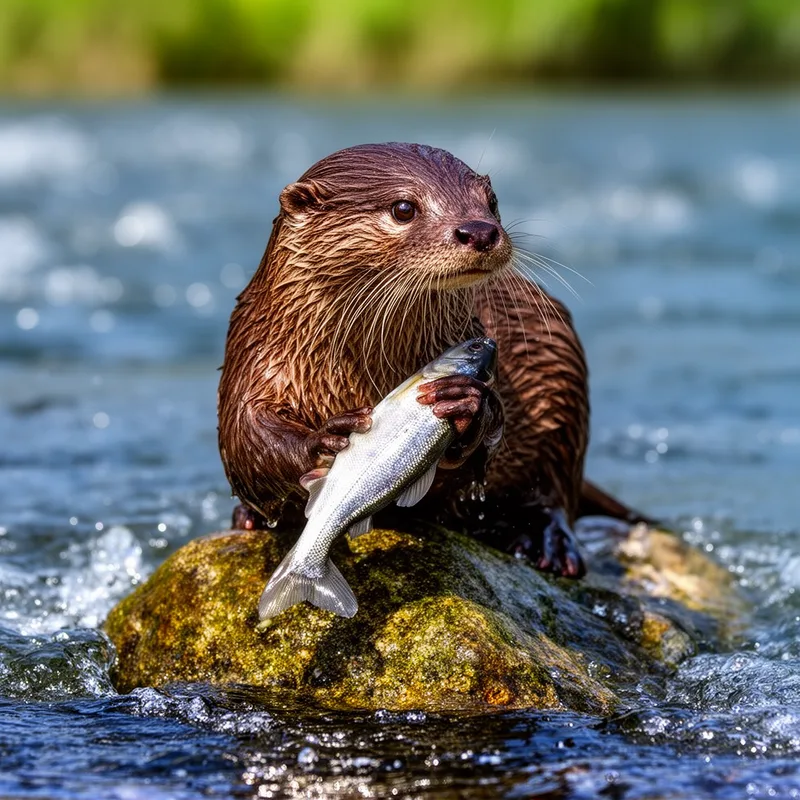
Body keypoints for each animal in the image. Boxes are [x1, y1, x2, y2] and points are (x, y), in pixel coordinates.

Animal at [218, 142, 643, 578]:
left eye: (491, 201)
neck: (362, 372)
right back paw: (247, 519)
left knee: (556, 489)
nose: (480, 230)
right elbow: (245, 438)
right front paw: (324, 438)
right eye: (404, 208)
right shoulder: (252, 355)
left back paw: (548, 543)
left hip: (563, 376)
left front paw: (466, 404)